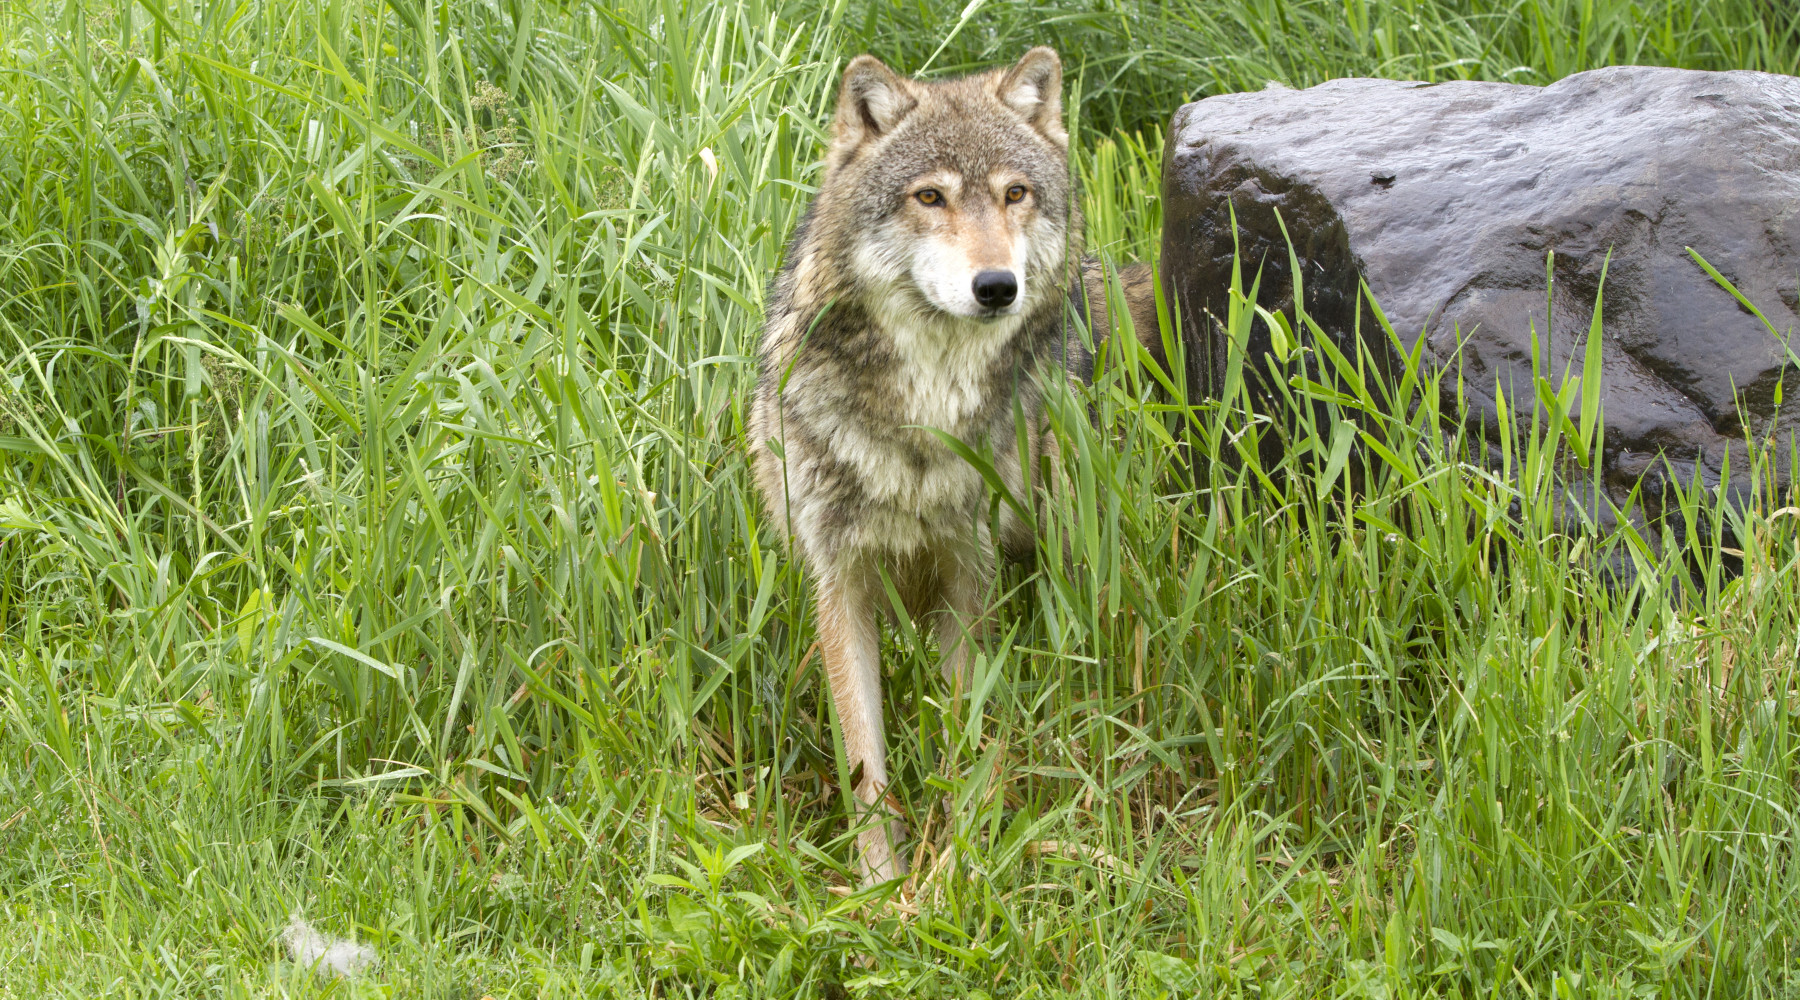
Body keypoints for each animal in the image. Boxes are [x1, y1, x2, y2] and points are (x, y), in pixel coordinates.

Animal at [749, 47, 1168, 884]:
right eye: (930, 196)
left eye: (1015, 193)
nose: (997, 286)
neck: (924, 420)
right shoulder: (839, 581)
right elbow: (864, 762)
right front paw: (880, 889)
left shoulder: (966, 572)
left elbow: (965, 736)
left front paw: (959, 863)